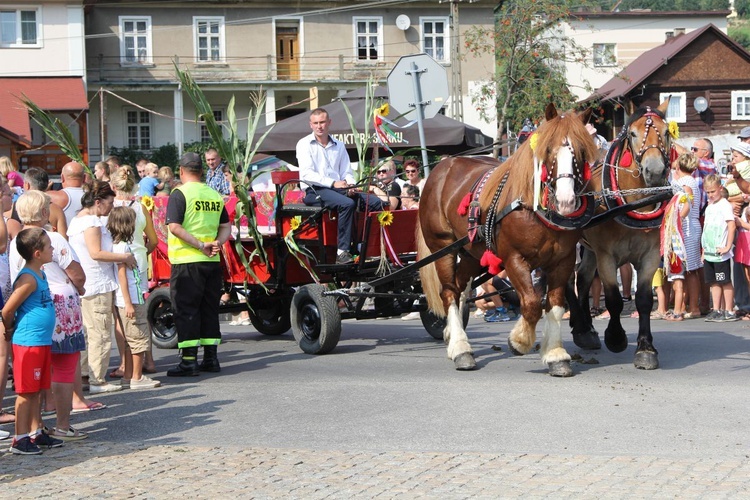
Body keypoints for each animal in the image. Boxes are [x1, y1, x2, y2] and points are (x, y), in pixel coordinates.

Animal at [418, 104, 600, 376]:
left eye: (581, 150)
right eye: (548, 149)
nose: (566, 200)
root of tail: (441, 167)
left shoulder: (564, 260)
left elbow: (555, 305)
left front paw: (556, 355)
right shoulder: (514, 258)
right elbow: (533, 304)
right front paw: (520, 341)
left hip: (472, 253)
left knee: (460, 288)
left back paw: (452, 334)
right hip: (443, 247)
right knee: (448, 291)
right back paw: (461, 349)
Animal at [568, 99, 676, 370]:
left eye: (666, 133)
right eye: (633, 134)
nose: (654, 171)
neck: (635, 202)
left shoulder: (650, 256)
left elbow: (645, 299)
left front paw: (645, 348)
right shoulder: (607, 256)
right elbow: (614, 299)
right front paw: (615, 337)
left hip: (589, 250)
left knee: (583, 279)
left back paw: (585, 330)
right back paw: (580, 324)